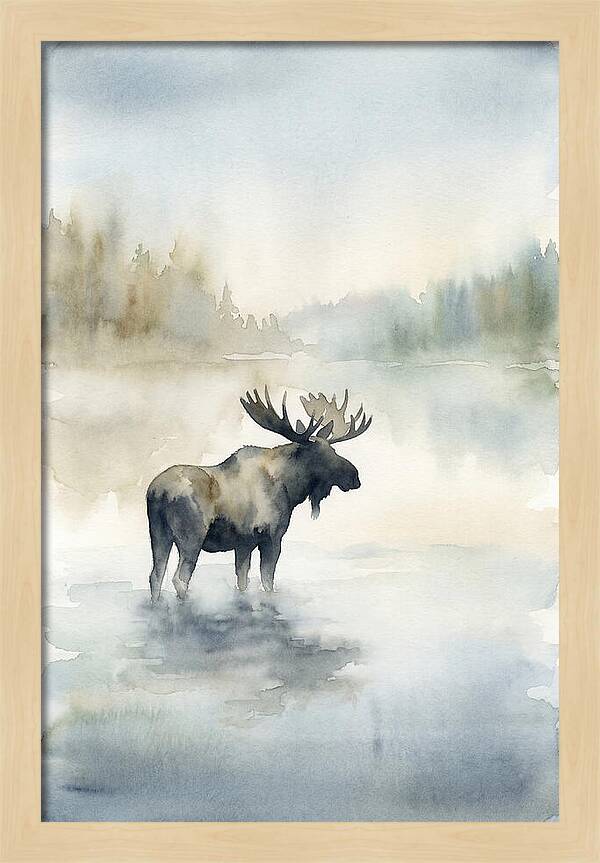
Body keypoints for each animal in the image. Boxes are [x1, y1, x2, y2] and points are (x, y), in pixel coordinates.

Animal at [146, 387, 372, 602]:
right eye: (321, 454)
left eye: (333, 450)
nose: (354, 476)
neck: (290, 488)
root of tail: (158, 492)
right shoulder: (272, 536)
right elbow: (268, 581)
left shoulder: (243, 543)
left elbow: (242, 581)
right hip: (191, 537)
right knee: (180, 578)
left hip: (159, 534)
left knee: (156, 575)